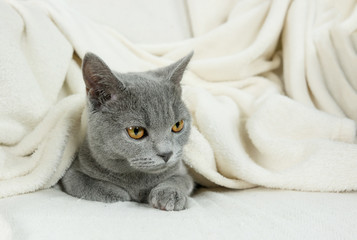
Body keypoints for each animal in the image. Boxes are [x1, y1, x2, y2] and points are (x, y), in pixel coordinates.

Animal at [61, 52, 195, 210]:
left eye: (177, 125)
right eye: (136, 131)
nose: (167, 154)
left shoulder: (182, 171)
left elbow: (180, 179)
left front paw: (170, 194)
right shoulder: (73, 173)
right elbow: (87, 183)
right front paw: (120, 195)